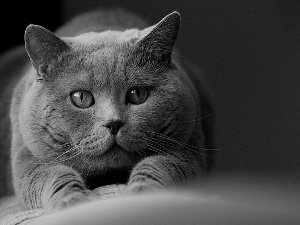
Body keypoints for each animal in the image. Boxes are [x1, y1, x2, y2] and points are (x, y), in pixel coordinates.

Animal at [0, 8, 216, 212]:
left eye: (137, 93)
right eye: (80, 98)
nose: (114, 123)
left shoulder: (188, 149)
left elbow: (157, 165)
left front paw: (141, 192)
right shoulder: (28, 160)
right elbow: (54, 176)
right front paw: (73, 201)